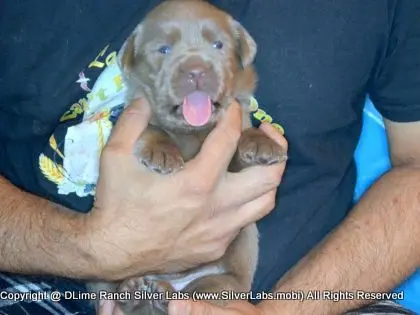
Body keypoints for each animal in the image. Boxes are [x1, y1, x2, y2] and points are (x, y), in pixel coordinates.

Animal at [88, 1, 286, 314]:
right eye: (164, 49)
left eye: (218, 45)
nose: (196, 71)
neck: (193, 130)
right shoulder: (135, 113)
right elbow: (153, 127)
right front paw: (162, 152)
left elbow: (243, 142)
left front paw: (261, 143)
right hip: (103, 276)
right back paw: (134, 292)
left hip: (220, 284)